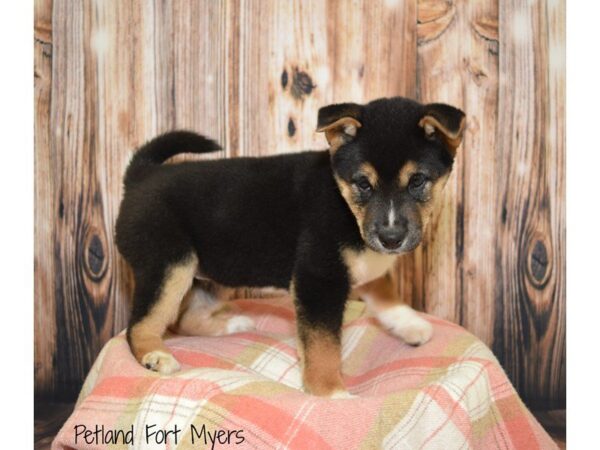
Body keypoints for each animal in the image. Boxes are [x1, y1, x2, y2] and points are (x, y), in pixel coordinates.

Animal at [115, 96, 466, 398]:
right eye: (363, 184)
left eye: (417, 181)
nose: (390, 238)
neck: (345, 205)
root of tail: (141, 176)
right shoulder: (319, 278)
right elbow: (323, 345)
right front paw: (330, 393)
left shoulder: (363, 267)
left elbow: (386, 294)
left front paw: (409, 324)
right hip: (170, 266)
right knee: (141, 325)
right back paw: (155, 356)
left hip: (216, 269)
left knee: (185, 318)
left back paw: (231, 324)